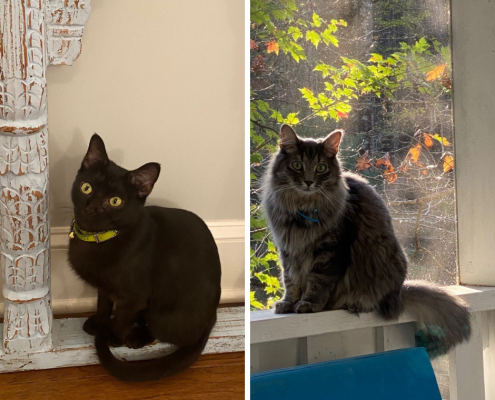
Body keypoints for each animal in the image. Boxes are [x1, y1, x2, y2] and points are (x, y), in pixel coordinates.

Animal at [67, 134, 221, 382]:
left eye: (115, 201)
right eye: (86, 188)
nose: (91, 209)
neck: (99, 240)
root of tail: (211, 320)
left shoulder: (134, 296)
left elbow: (123, 317)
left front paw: (114, 338)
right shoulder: (104, 287)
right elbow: (103, 304)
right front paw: (100, 322)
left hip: (163, 310)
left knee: (167, 332)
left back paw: (137, 336)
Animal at [262, 124, 470, 356]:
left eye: (321, 168)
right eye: (297, 165)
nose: (308, 182)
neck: (302, 208)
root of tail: (399, 293)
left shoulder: (331, 249)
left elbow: (317, 281)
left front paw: (309, 303)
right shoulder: (288, 249)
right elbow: (290, 280)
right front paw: (288, 303)